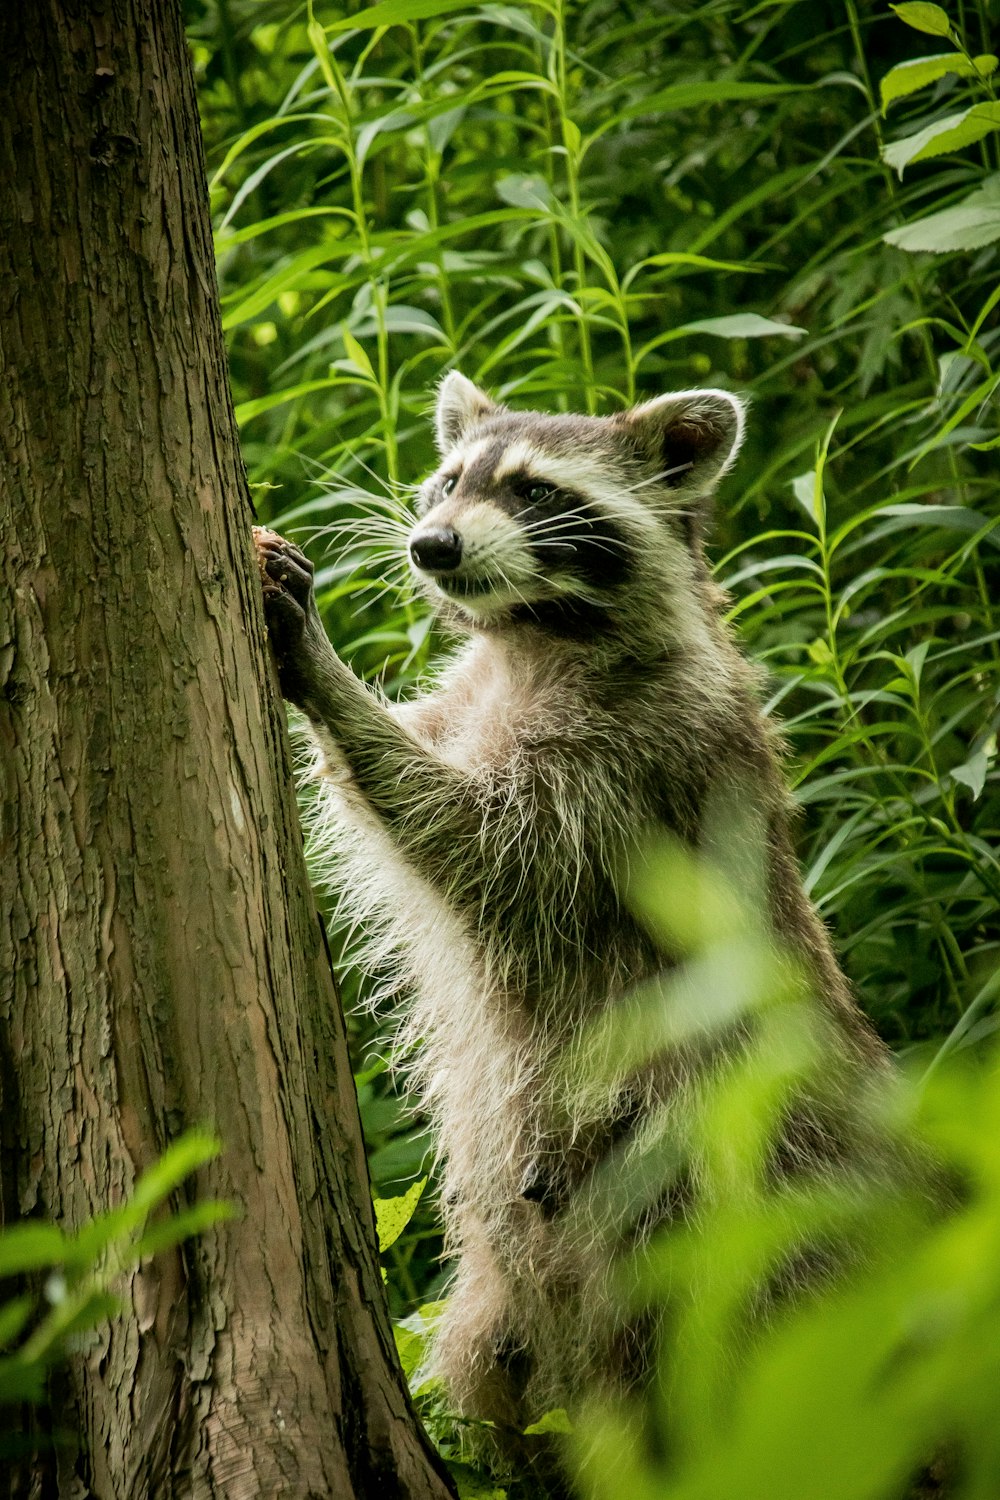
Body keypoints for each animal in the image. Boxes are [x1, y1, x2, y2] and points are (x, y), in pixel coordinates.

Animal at [256, 375, 893, 1464]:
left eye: (534, 492)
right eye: (449, 480)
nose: (431, 546)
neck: (536, 630)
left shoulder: (633, 762)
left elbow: (471, 837)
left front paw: (328, 679)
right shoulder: (478, 698)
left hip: (702, 1191)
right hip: (514, 1281)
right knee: (494, 1358)